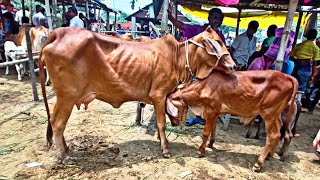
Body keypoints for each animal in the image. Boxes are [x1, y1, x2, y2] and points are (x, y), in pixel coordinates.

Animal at [38, 26, 236, 160]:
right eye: (217, 43)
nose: (234, 65)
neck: (177, 58)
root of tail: (57, 33)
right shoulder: (159, 95)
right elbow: (161, 123)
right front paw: (165, 149)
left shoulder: (160, 98)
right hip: (67, 96)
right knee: (57, 123)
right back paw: (64, 155)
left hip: (64, 98)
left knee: (55, 122)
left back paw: (66, 149)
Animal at [166, 69, 298, 172]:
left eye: (168, 111)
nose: (173, 124)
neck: (204, 87)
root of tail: (287, 76)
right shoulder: (215, 113)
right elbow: (213, 129)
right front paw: (210, 144)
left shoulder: (211, 111)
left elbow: (205, 132)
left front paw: (200, 151)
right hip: (277, 115)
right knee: (279, 133)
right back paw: (269, 156)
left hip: (269, 114)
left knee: (273, 135)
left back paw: (258, 164)